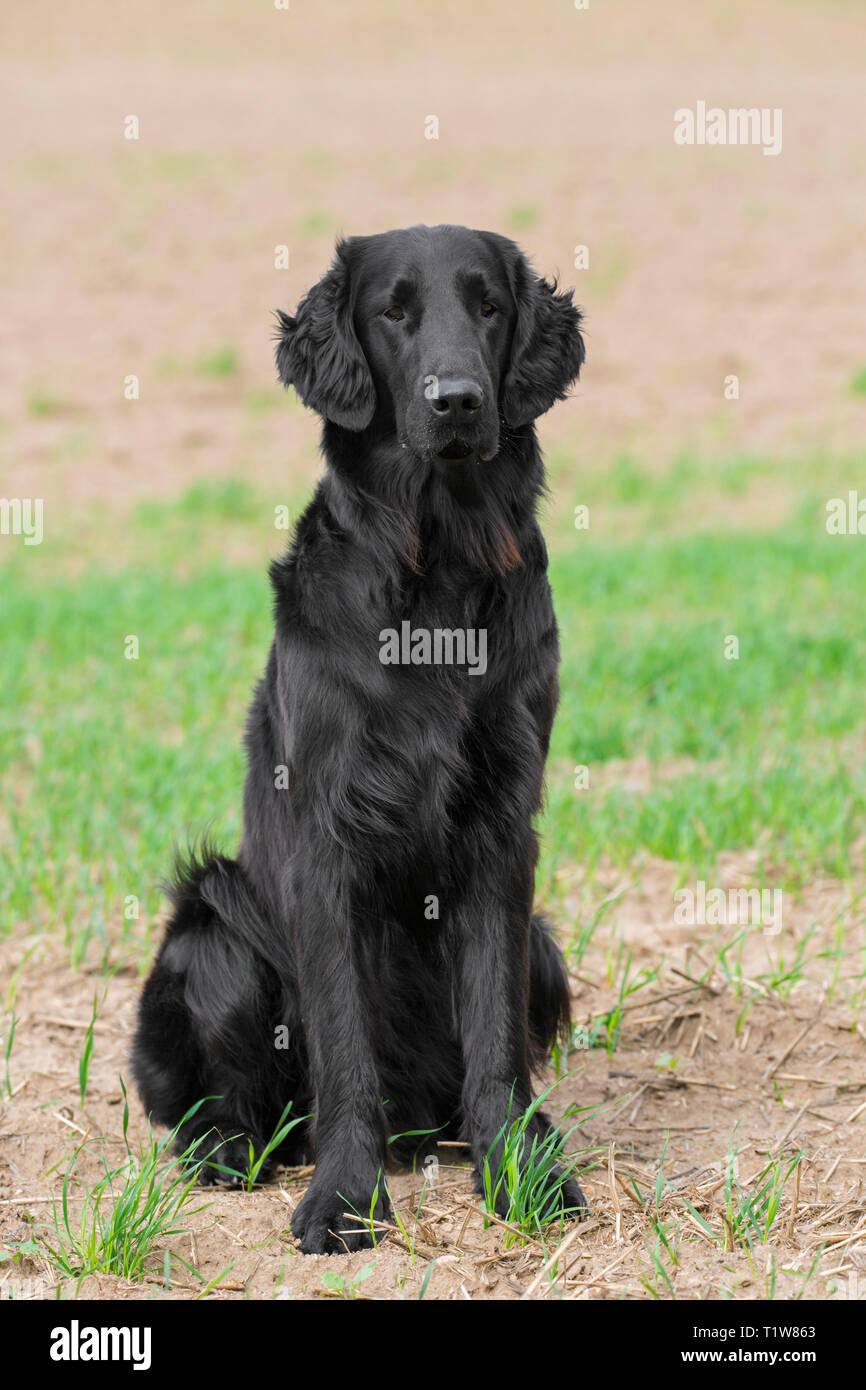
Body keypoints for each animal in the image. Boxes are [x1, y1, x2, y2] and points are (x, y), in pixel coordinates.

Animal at [130, 222, 589, 1256]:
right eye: (394, 311)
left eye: (489, 305)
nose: (457, 400)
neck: (440, 572)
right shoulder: (326, 838)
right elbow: (342, 1043)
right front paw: (345, 1197)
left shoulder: (504, 828)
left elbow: (495, 1038)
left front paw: (521, 1171)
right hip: (214, 923)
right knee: (220, 1101)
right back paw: (229, 1150)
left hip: (544, 946)